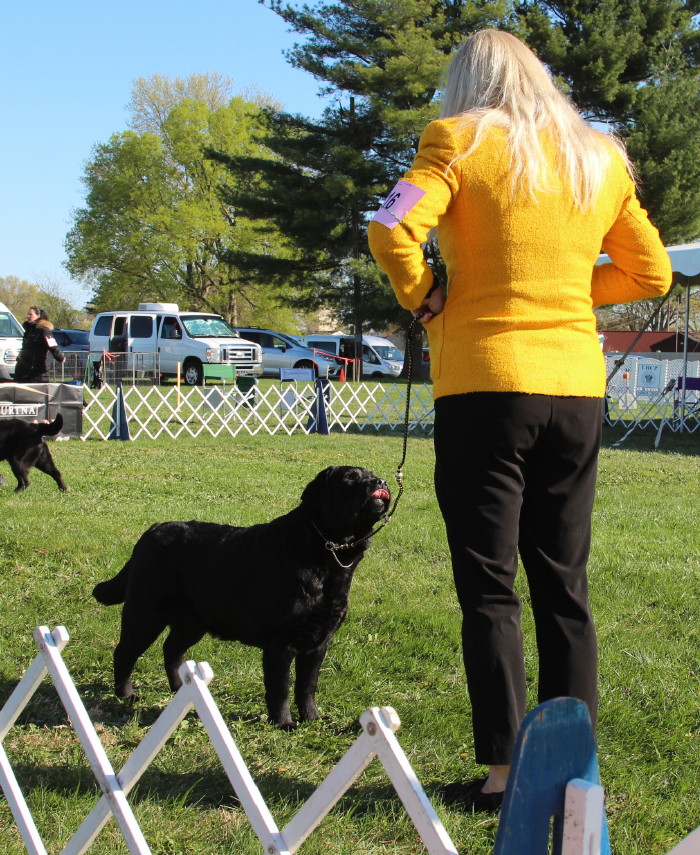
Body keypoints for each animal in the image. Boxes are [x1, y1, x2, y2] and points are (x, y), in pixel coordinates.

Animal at [93, 465, 390, 728]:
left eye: (374, 474)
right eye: (350, 478)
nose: (381, 482)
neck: (323, 555)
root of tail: (152, 530)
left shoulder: (318, 642)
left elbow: (307, 686)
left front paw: (312, 718)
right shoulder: (281, 644)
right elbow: (281, 688)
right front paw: (284, 723)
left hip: (192, 622)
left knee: (172, 651)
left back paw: (180, 689)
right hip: (145, 613)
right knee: (126, 652)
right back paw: (125, 695)